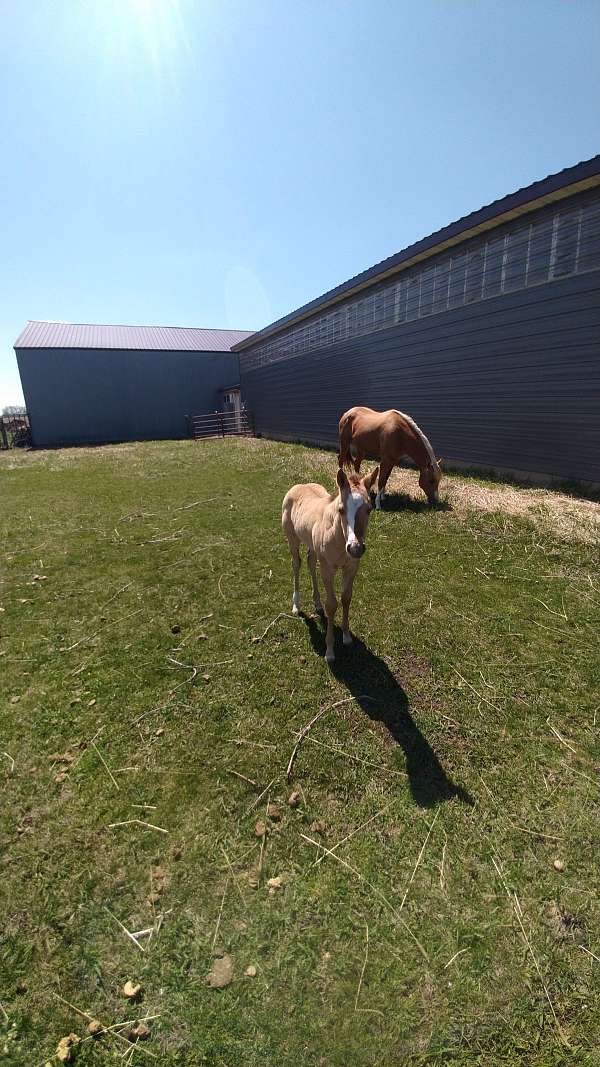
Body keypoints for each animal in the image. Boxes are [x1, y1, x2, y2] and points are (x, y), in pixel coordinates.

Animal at [282, 465, 379, 663]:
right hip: (292, 539)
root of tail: (297, 486)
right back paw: (296, 605)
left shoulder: (351, 567)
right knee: (296, 564)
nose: (355, 548)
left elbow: (346, 597)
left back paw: (317, 602)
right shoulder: (327, 569)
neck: (339, 538)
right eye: (341, 509)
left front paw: (347, 637)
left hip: (312, 545)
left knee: (311, 562)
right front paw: (330, 651)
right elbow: (332, 605)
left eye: (369, 509)